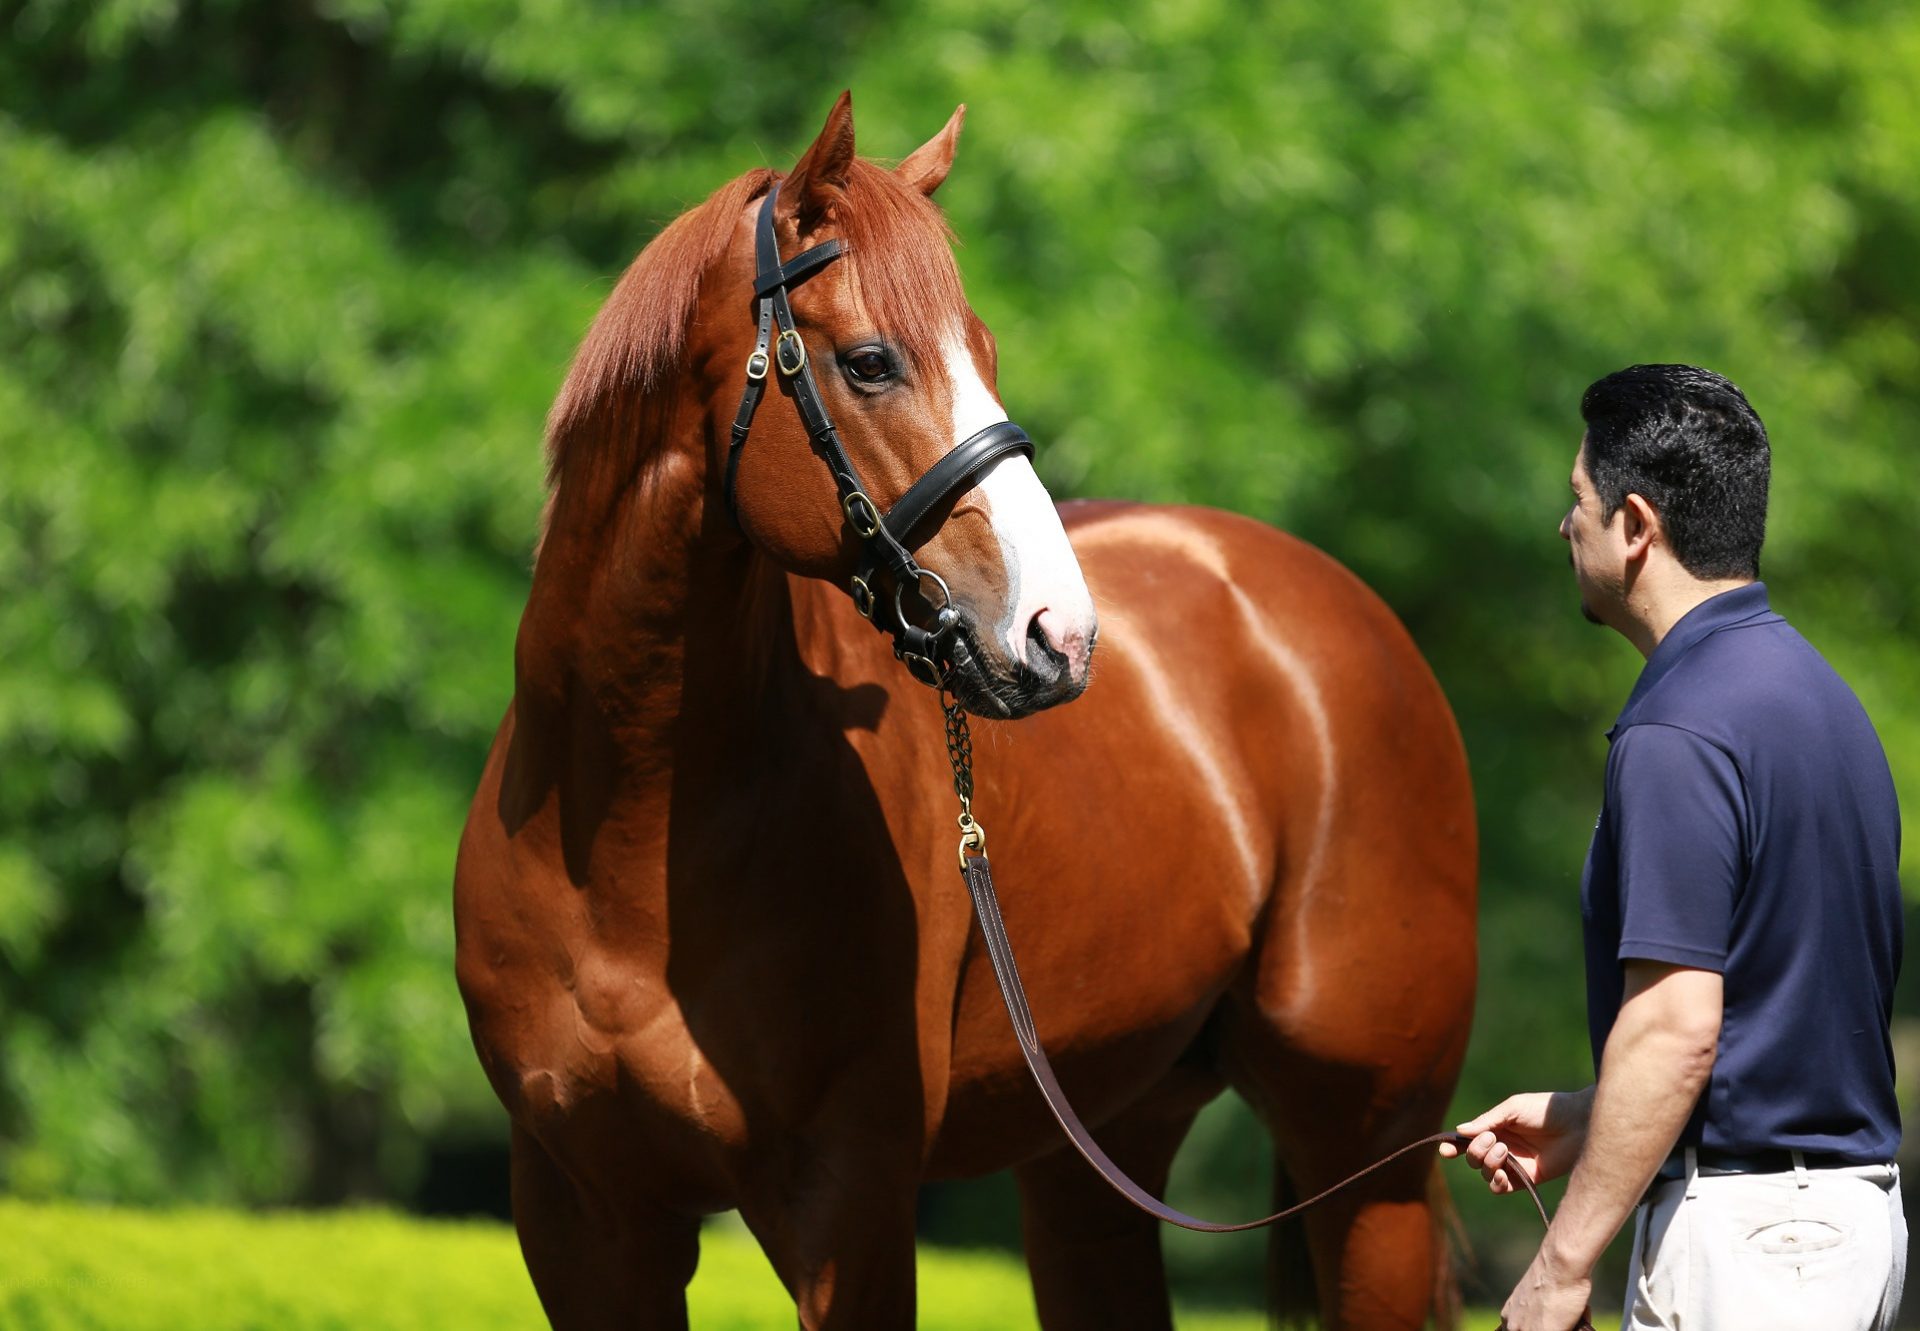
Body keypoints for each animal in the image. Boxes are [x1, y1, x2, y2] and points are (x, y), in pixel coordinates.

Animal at [456, 96, 1474, 1329]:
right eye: (870, 362)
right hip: (1097, 1154)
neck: (624, 833)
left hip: (1370, 1162)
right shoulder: (585, 1221)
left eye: (983, 351)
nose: (1057, 634)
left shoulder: (848, 1202)